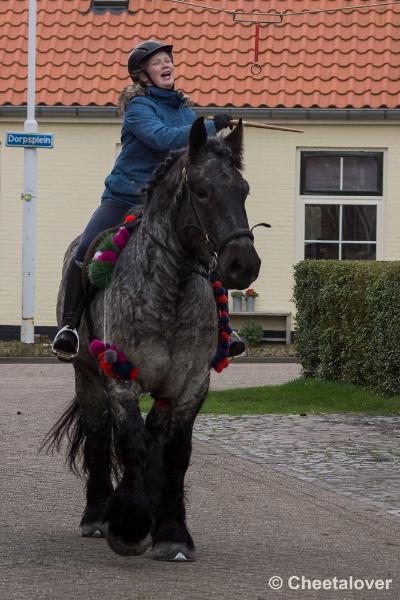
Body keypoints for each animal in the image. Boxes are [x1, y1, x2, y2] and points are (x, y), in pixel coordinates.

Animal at [44, 118, 262, 564]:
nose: (243, 265)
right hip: (87, 376)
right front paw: (128, 525)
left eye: (244, 190)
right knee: (99, 437)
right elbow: (130, 444)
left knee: (154, 437)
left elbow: (175, 454)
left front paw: (172, 533)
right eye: (201, 190)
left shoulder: (190, 385)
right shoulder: (120, 377)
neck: (170, 292)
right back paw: (97, 514)